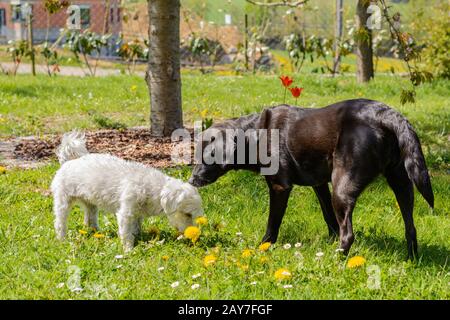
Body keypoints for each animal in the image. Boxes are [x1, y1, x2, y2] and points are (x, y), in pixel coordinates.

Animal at [51, 131, 204, 251]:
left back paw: (96, 233)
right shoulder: (126, 213)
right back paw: (62, 239)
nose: (193, 235)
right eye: (187, 214)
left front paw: (138, 238)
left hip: (90, 204)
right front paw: (129, 250)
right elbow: (126, 234)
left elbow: (136, 229)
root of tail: (68, 162)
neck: (153, 188)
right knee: (60, 222)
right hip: (63, 202)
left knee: (90, 218)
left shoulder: (137, 215)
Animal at [189, 99, 432, 258]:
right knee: (410, 228)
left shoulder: (279, 187)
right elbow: (329, 219)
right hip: (402, 184)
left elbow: (272, 224)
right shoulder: (320, 185)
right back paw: (412, 260)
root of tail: (387, 114)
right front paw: (328, 240)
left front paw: (263, 248)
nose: (191, 181)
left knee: (349, 234)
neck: (254, 134)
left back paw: (336, 260)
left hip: (342, 186)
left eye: (207, 156)